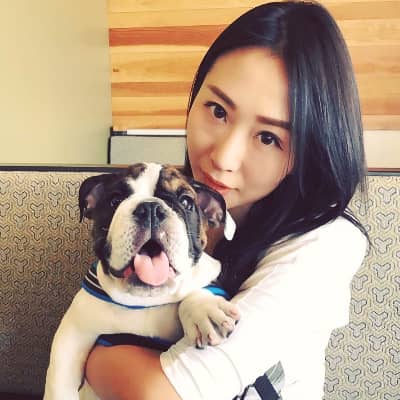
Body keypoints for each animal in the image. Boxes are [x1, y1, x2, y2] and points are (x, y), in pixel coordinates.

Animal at [44, 162, 238, 400]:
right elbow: (59, 383)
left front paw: (204, 309)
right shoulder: (73, 334)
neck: (144, 300)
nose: (151, 209)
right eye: (115, 200)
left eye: (186, 202)